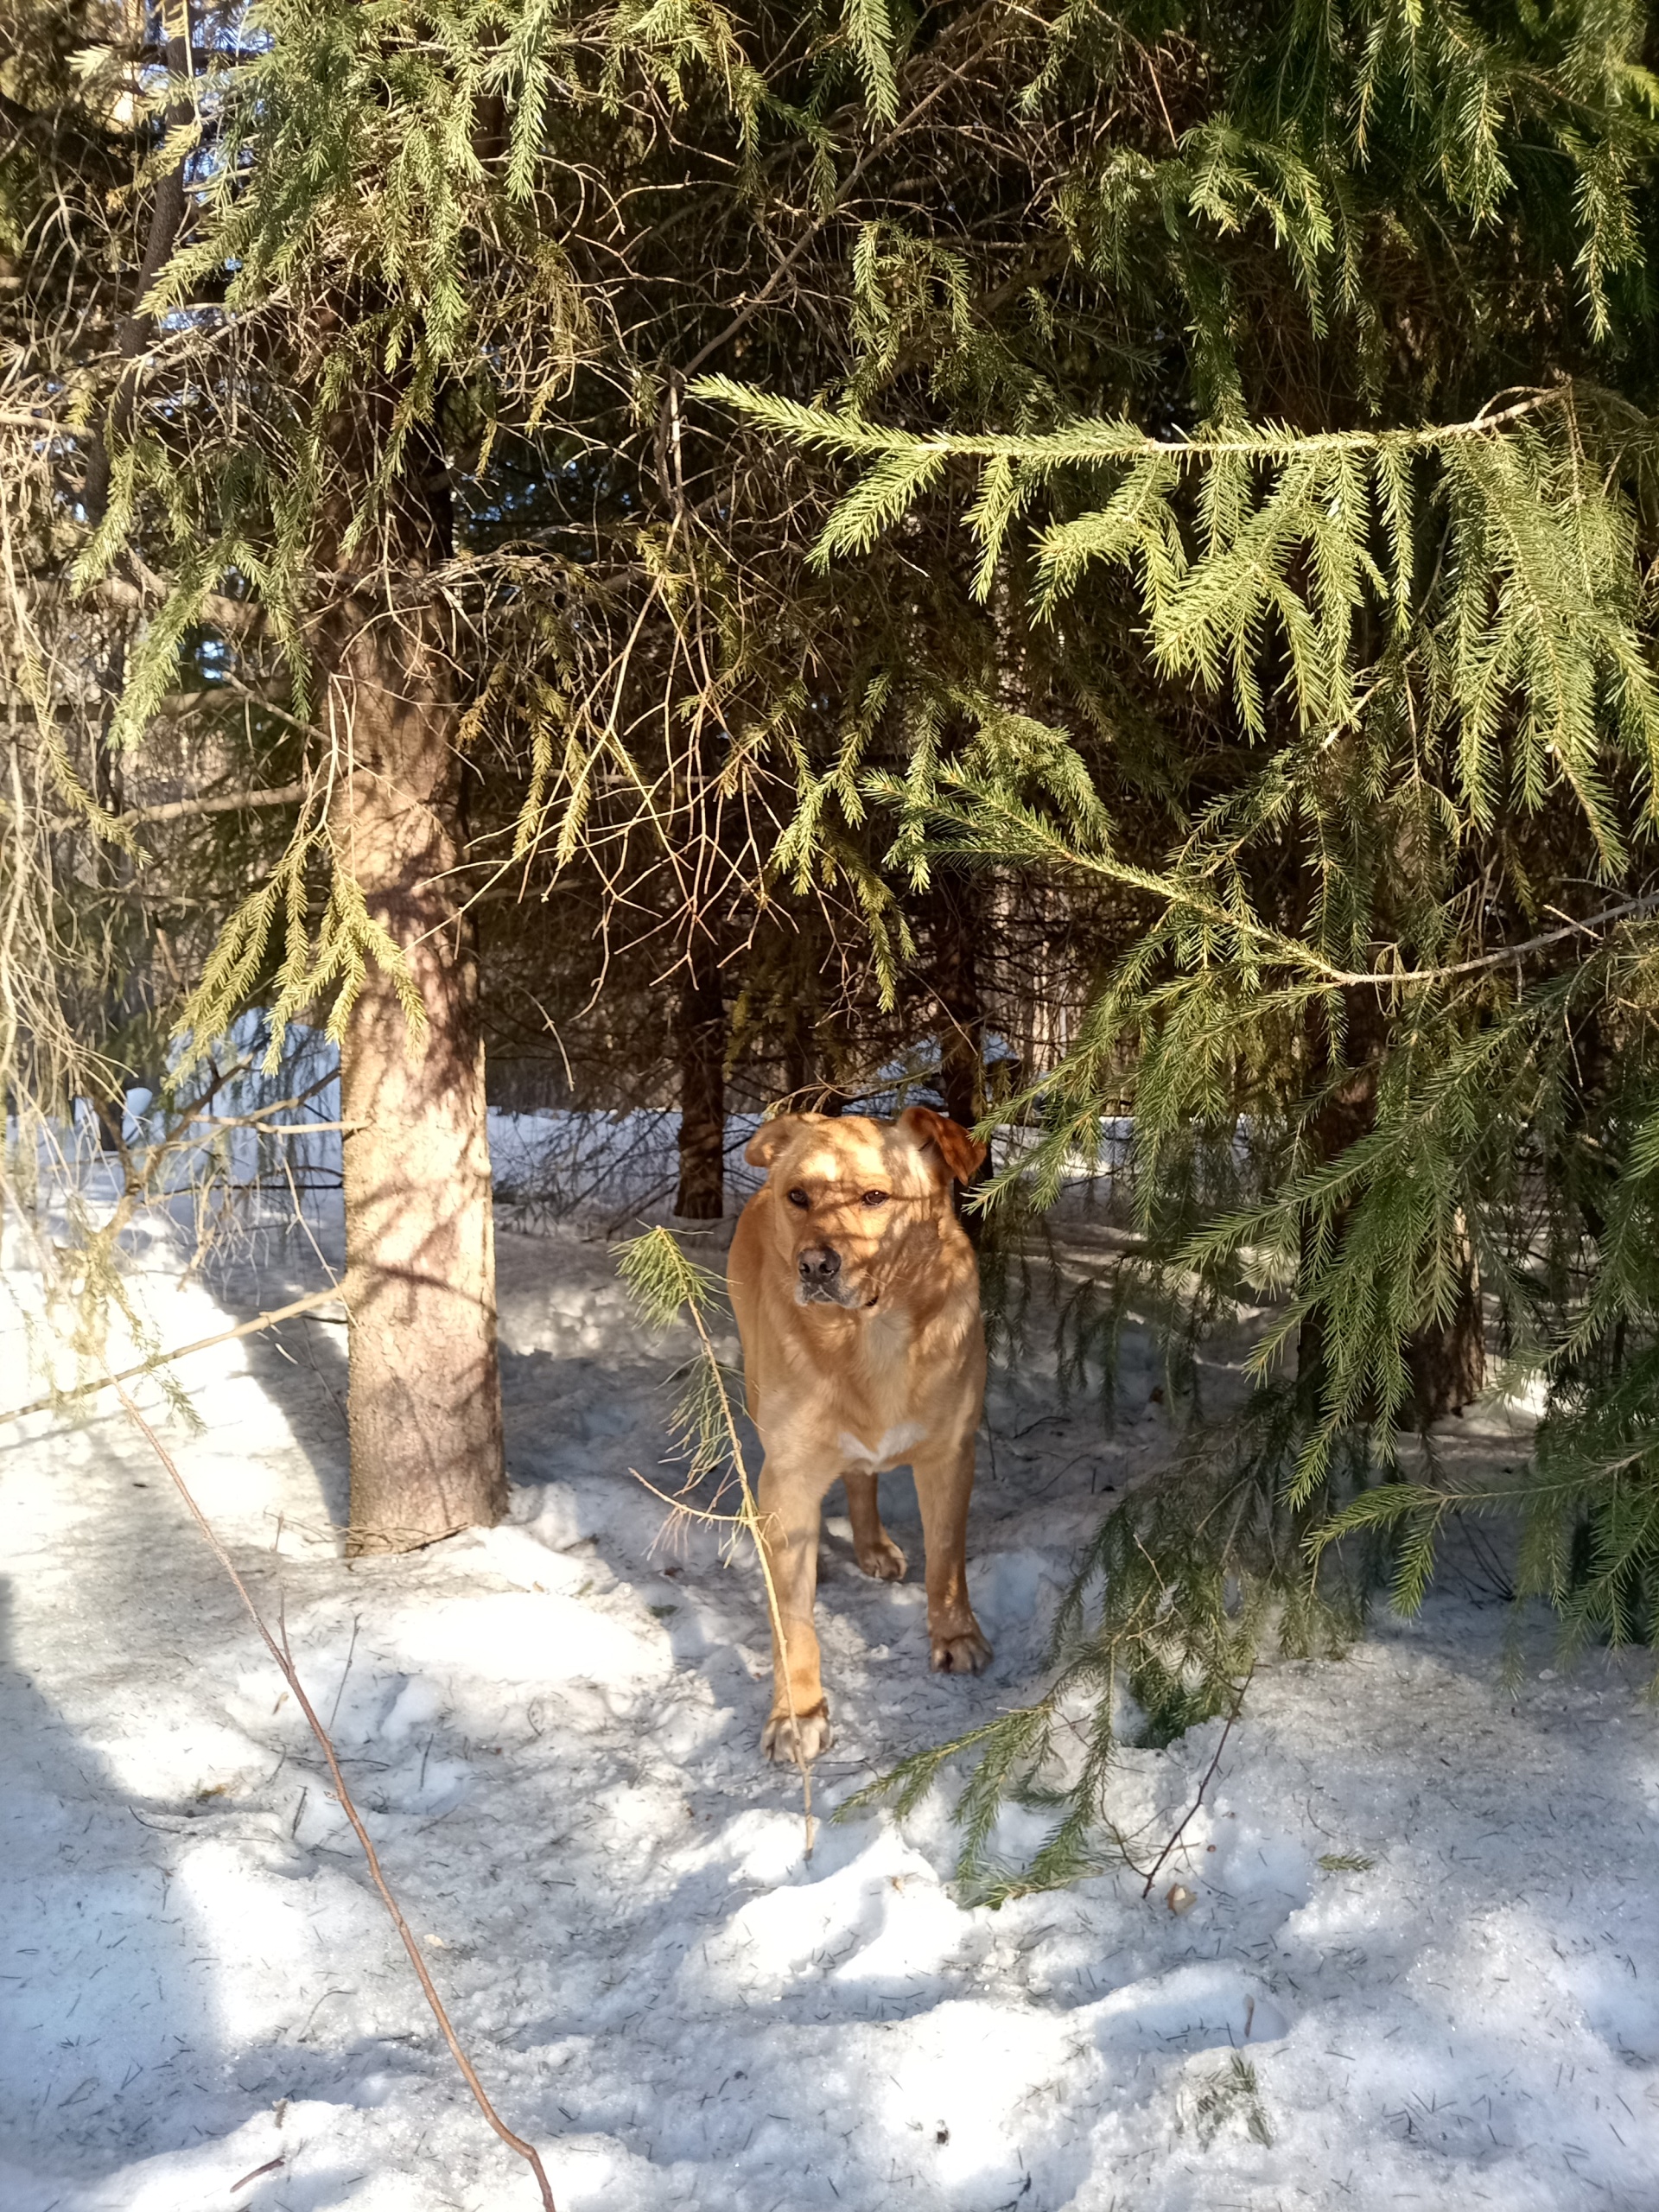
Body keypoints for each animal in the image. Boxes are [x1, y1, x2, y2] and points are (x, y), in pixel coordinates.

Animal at [729, 1106, 995, 1760]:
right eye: (798, 1196)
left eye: (875, 1197)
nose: (815, 1266)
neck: (870, 1336)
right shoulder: (791, 1472)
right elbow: (794, 1622)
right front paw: (797, 1712)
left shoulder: (951, 1456)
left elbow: (946, 1560)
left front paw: (955, 1636)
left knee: (860, 1475)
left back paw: (871, 1544)